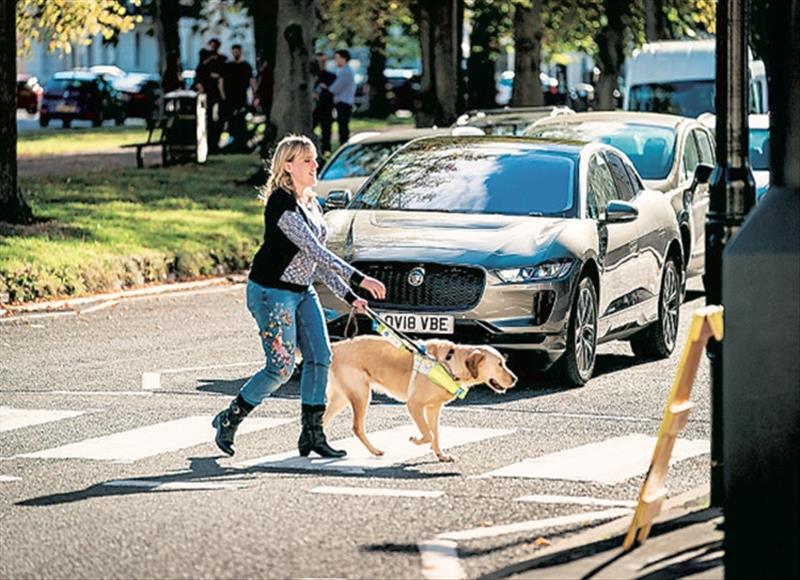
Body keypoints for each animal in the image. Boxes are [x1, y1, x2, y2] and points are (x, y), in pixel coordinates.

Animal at [324, 336, 520, 462]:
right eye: (500, 364)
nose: (515, 379)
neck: (450, 363)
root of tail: (335, 346)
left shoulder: (434, 408)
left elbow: (436, 434)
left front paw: (441, 455)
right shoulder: (414, 405)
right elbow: (429, 434)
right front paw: (415, 440)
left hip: (341, 399)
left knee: (322, 421)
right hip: (361, 395)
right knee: (357, 427)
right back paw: (375, 450)